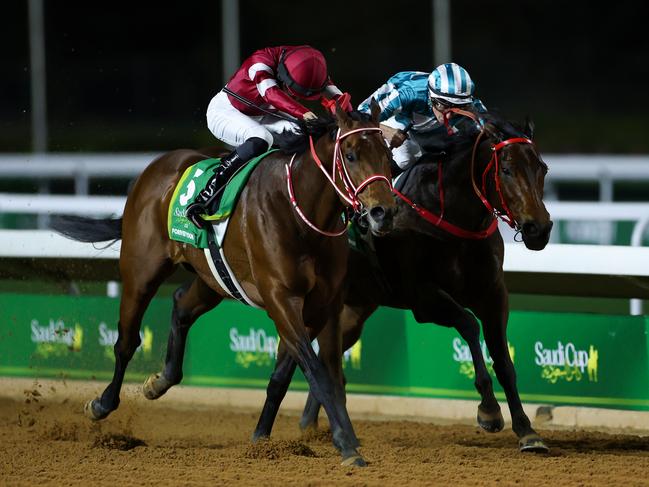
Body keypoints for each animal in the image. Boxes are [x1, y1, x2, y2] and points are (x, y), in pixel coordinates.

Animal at [52, 104, 394, 468]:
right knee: (126, 341)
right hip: (140, 271)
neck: (300, 213)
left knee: (181, 305)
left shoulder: (320, 306)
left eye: (388, 155)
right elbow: (318, 373)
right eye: (351, 154)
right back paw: (102, 404)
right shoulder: (282, 299)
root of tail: (156, 168)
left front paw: (264, 437)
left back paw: (161, 381)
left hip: (213, 278)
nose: (383, 213)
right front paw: (346, 445)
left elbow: (293, 375)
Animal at [294, 110, 552, 454]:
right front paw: (488, 410)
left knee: (327, 354)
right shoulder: (423, 299)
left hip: (355, 309)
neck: (451, 219)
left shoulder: (494, 294)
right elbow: (469, 325)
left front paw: (527, 430)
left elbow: (504, 361)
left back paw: (310, 426)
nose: (540, 229)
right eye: (507, 169)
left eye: (542, 168)